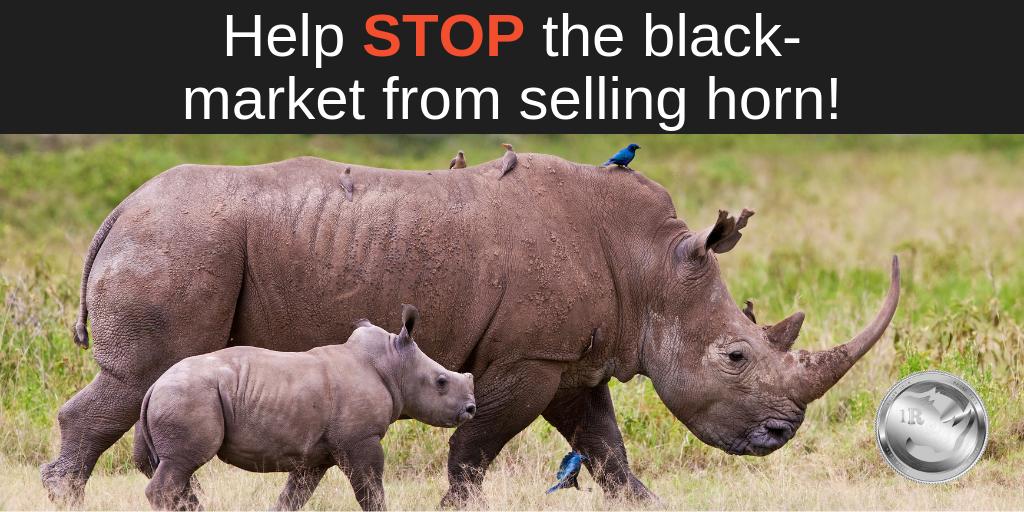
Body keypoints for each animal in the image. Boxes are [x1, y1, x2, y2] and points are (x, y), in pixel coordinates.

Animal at [137, 304, 475, 511]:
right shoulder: (360, 439)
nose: (471, 408)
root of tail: (154, 386)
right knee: (182, 464)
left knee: (178, 469)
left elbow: (294, 496)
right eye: (441, 382)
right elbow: (370, 490)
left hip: (181, 394)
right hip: (188, 395)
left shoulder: (315, 453)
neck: (392, 364)